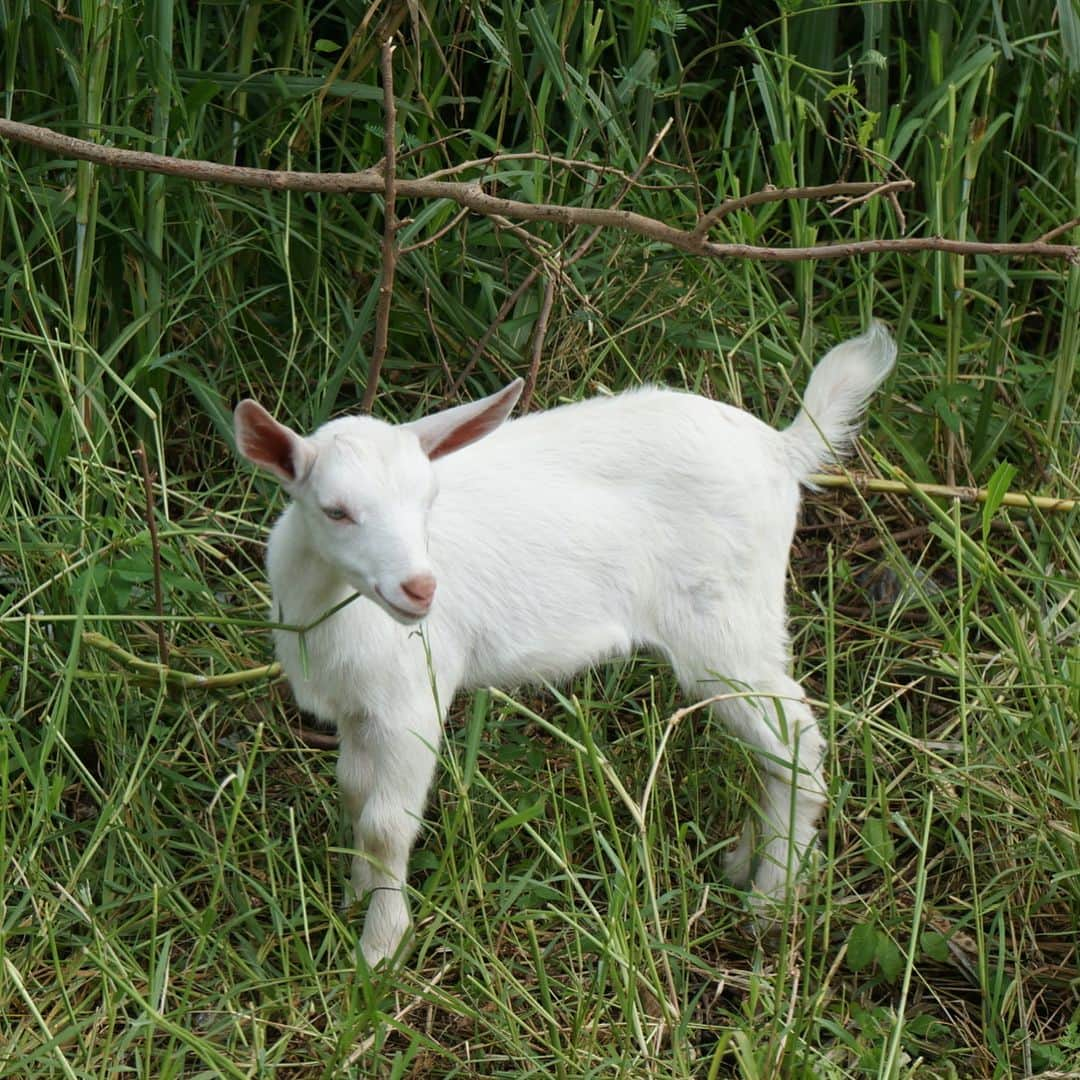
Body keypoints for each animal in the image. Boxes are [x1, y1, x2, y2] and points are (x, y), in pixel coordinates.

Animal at [234, 319, 894, 963]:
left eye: (429, 500)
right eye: (336, 511)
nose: (420, 589)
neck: (333, 609)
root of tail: (782, 449)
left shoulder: (412, 699)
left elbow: (385, 825)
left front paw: (379, 954)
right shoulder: (355, 705)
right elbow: (353, 793)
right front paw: (352, 899)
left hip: (727, 623)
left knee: (797, 737)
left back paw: (772, 898)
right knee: (772, 744)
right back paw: (744, 864)